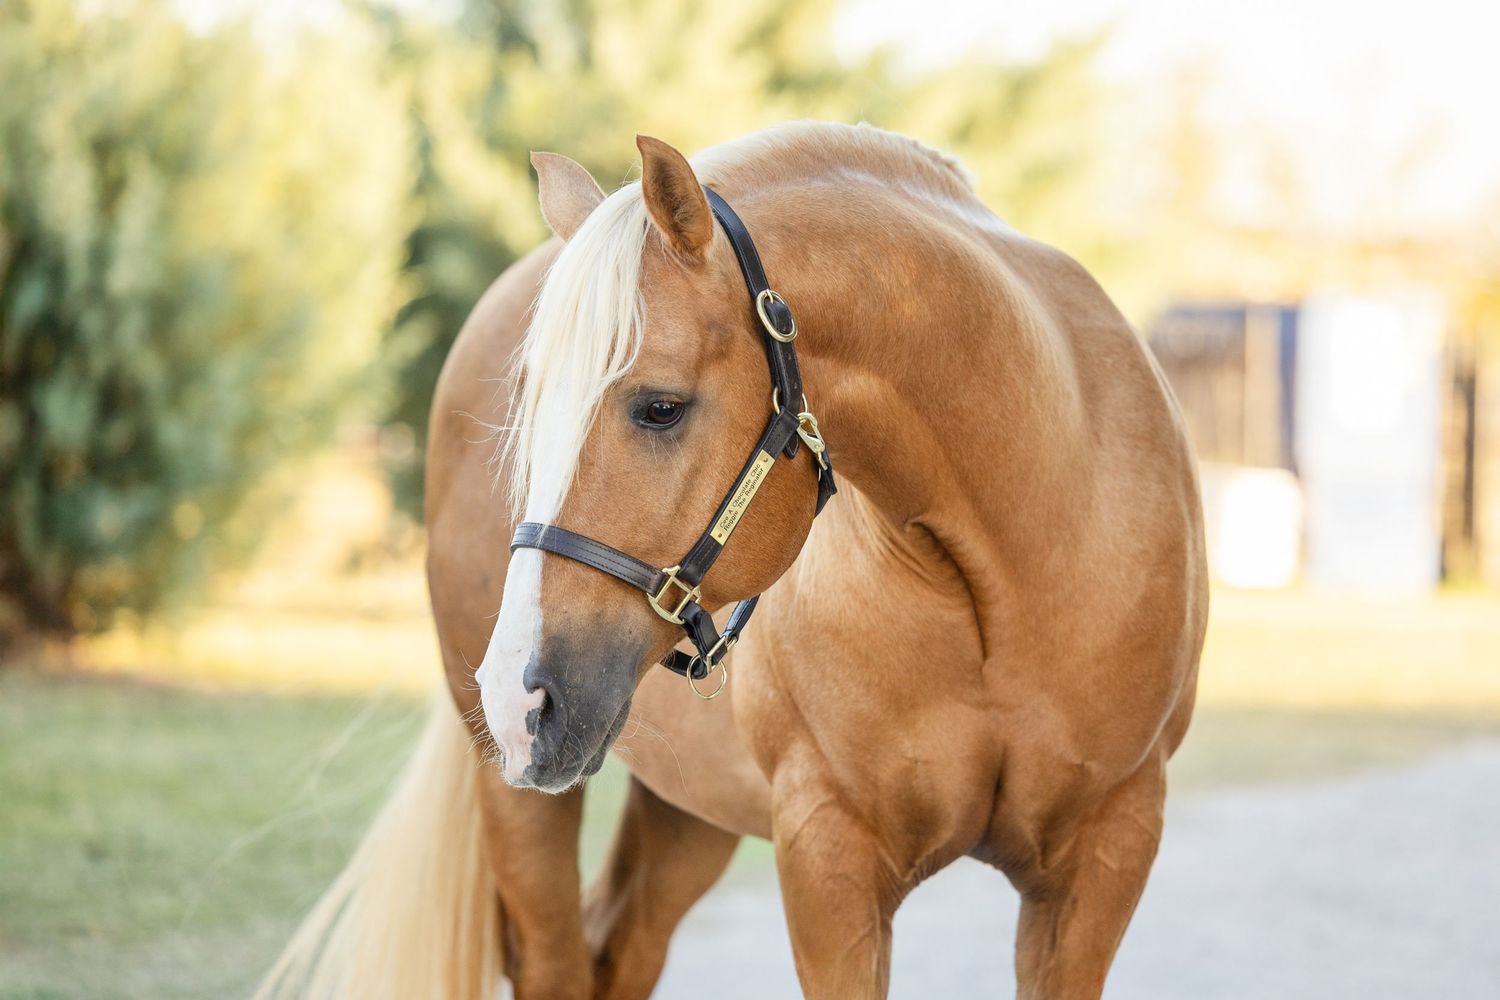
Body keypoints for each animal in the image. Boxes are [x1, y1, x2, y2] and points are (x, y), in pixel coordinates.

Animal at [259, 121, 1207, 1000]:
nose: (516, 692)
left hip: (689, 810)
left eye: (661, 407)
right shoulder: (828, 856)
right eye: (527, 417)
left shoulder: (1106, 853)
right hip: (523, 800)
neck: (1003, 575)